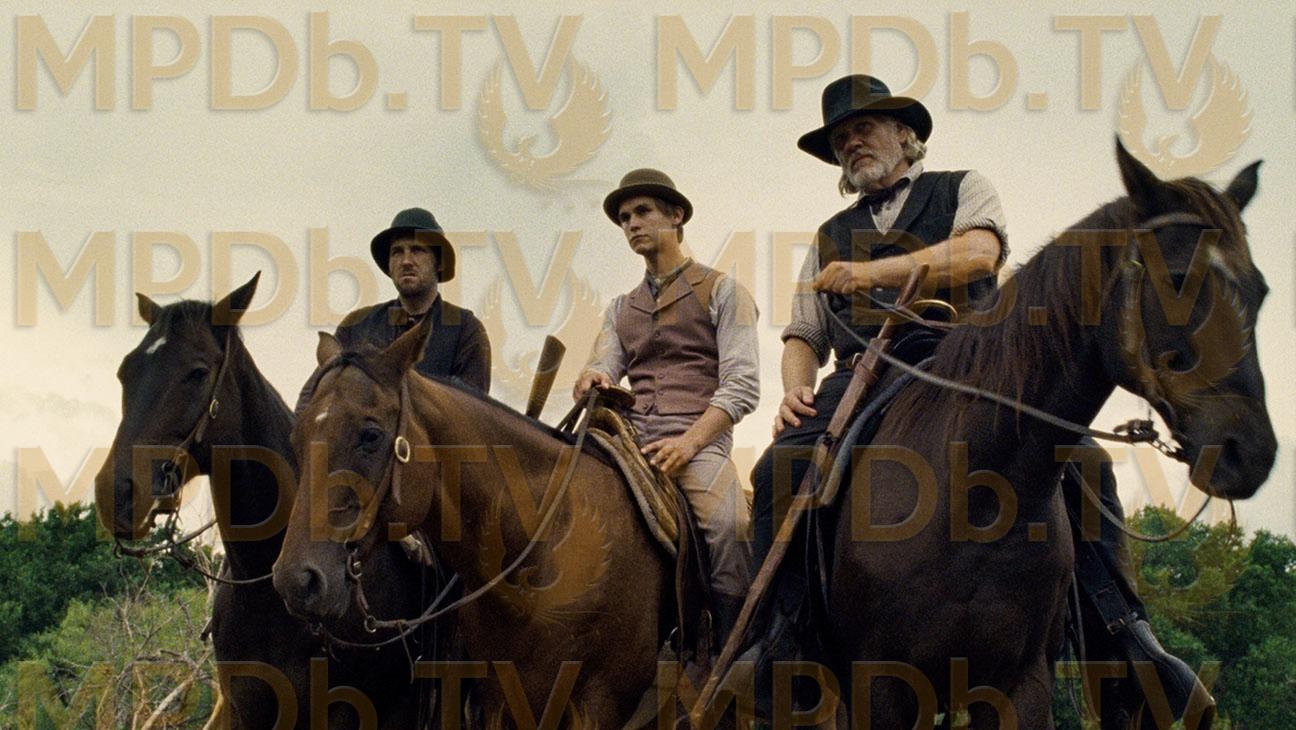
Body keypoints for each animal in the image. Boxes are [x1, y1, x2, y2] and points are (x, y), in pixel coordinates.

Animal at [94, 274, 432, 729]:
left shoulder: (349, 710)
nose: (114, 493)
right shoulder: (245, 708)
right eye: (125, 371)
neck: (266, 588)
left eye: (197, 372)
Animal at [820, 143, 1275, 727]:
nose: (1251, 451)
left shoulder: (1020, 681)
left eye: (1260, 291)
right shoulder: (880, 686)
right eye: (1177, 278)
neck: (973, 496)